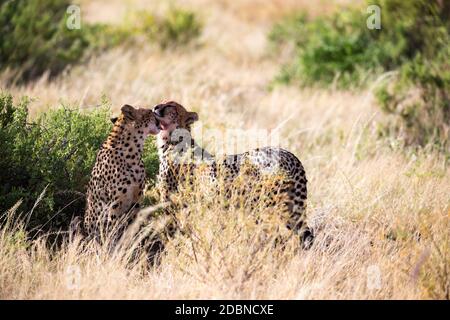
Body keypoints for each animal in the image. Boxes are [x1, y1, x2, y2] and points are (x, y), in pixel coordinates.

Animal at [84, 105, 160, 240]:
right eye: (149, 112)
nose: (157, 112)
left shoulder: (136, 199)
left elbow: (132, 226)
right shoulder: (115, 203)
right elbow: (114, 229)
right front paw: (113, 243)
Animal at [153, 101, 314, 249]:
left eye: (171, 105)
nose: (155, 107)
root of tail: (289, 154)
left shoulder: (170, 201)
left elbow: (171, 231)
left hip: (263, 206)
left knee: (273, 234)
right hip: (289, 207)